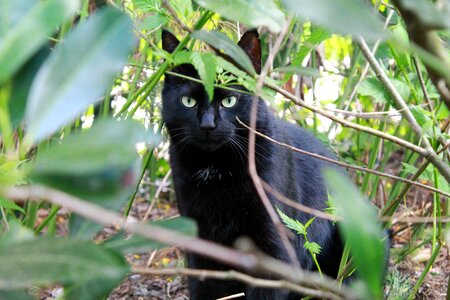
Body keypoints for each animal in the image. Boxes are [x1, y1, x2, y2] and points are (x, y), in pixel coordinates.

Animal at [162, 30, 344, 300]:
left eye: (229, 100)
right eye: (188, 101)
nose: (208, 125)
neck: (216, 168)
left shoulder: (272, 245)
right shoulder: (199, 240)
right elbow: (203, 287)